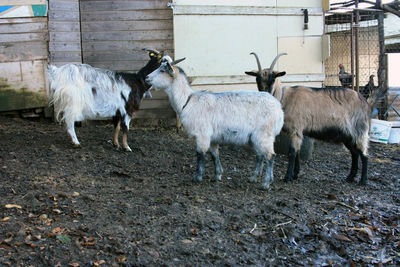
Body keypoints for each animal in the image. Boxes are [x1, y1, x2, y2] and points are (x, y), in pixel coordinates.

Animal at [145, 57, 282, 189]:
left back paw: (266, 184)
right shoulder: (212, 137)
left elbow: (200, 154)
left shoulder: (202, 134)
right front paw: (217, 175)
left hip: (264, 134)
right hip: (255, 137)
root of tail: (279, 109)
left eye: (162, 70)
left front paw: (197, 177)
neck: (188, 101)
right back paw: (254, 178)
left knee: (270, 156)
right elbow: (214, 155)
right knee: (261, 155)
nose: (146, 78)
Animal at [245, 52, 380, 186]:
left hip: (360, 130)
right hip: (347, 135)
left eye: (273, 79)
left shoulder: (296, 129)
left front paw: (288, 177)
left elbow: (292, 153)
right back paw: (350, 177)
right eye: (257, 79)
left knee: (364, 154)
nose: (264, 94)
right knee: (354, 153)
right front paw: (296, 174)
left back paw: (363, 180)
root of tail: (365, 103)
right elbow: (297, 152)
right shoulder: (297, 132)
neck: (286, 98)